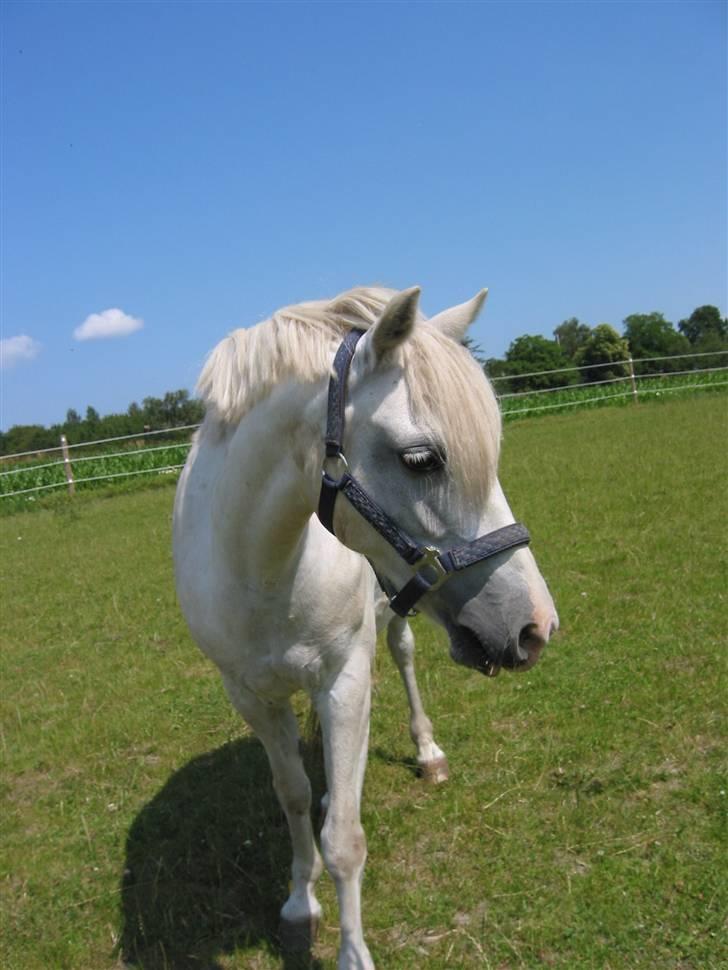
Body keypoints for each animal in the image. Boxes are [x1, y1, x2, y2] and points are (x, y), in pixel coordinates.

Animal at [173, 285, 558, 969]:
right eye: (421, 459)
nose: (535, 625)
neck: (260, 568)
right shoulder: (249, 695)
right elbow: (293, 795)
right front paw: (300, 900)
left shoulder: (345, 680)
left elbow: (345, 839)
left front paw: (353, 951)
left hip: (391, 624)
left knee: (402, 657)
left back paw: (427, 752)